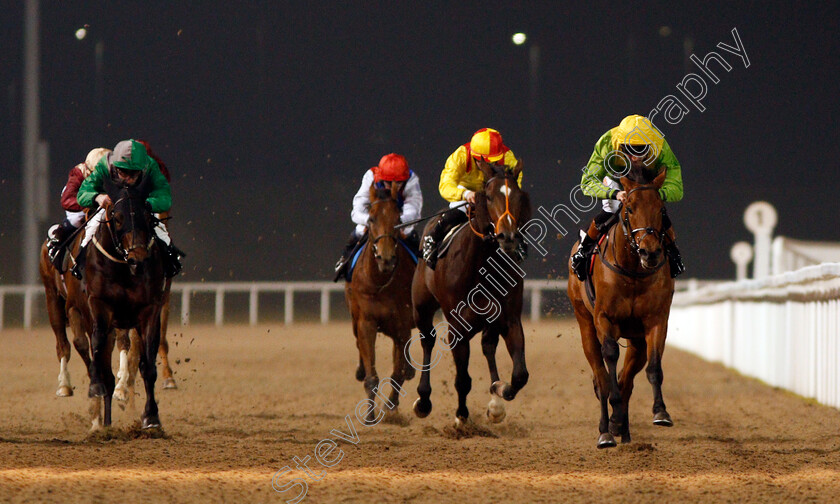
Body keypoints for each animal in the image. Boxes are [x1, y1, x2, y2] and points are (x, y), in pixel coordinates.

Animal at [344, 181, 416, 418]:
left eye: (398, 219)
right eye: (372, 218)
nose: (386, 258)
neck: (381, 281)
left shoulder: (402, 325)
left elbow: (398, 373)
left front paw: (391, 407)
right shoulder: (366, 321)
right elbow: (372, 375)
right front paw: (369, 415)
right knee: (358, 342)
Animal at [408, 159, 532, 428]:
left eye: (518, 196)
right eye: (488, 195)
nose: (508, 237)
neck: (481, 265)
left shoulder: (509, 318)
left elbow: (519, 375)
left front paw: (499, 390)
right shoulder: (457, 327)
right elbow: (463, 379)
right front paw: (461, 417)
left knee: (488, 346)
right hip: (421, 307)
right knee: (428, 341)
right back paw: (423, 400)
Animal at [564, 168, 676, 448]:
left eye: (661, 209)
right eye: (630, 208)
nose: (650, 253)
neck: (633, 270)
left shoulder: (656, 321)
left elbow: (653, 367)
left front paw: (660, 412)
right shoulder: (605, 319)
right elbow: (610, 361)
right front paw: (611, 421)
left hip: (636, 340)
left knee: (627, 379)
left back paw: (621, 429)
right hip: (584, 322)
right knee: (601, 376)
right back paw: (606, 430)